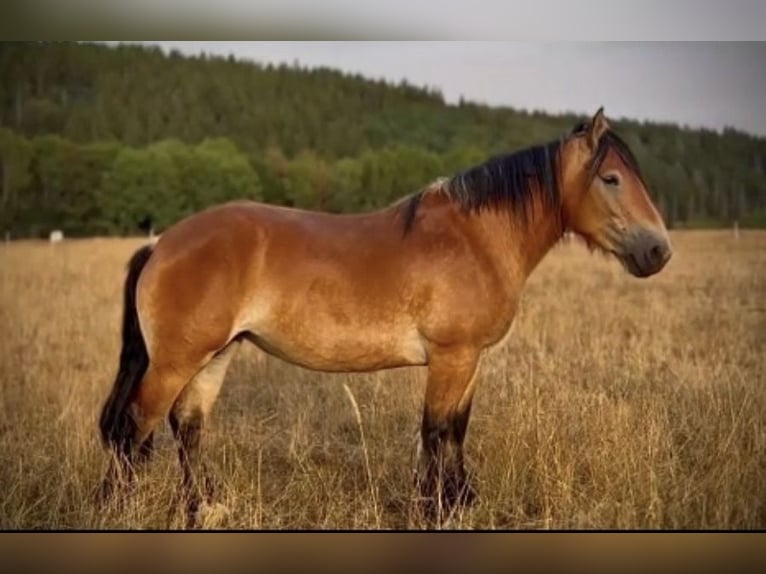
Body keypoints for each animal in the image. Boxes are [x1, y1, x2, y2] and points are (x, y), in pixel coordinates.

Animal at [98, 107, 672, 526]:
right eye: (612, 178)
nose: (658, 251)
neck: (476, 239)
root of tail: (161, 243)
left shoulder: (471, 360)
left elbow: (456, 429)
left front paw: (459, 502)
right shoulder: (451, 357)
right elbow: (436, 430)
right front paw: (433, 509)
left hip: (215, 354)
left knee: (188, 426)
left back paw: (205, 508)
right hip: (176, 361)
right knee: (135, 428)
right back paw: (119, 510)